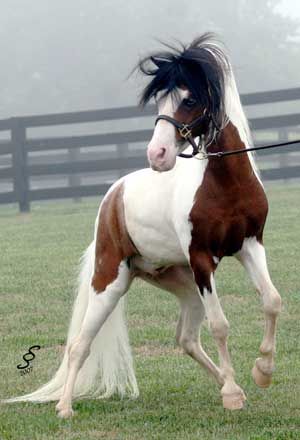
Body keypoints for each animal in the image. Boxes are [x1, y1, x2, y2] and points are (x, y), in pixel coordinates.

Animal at [5, 33, 282, 416]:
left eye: (190, 98)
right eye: (161, 100)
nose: (157, 155)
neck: (225, 185)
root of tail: (113, 195)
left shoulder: (250, 245)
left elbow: (271, 301)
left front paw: (262, 373)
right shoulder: (202, 259)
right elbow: (221, 326)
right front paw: (231, 394)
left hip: (185, 286)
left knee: (186, 338)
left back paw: (234, 385)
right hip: (109, 283)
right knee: (80, 344)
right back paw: (64, 407)